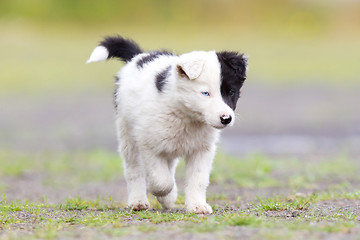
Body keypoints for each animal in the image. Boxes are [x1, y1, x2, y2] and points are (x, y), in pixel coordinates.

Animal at [86, 36, 248, 215]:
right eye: (205, 93)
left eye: (231, 92)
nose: (226, 118)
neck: (186, 116)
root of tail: (139, 56)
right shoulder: (148, 144)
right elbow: (161, 181)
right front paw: (163, 193)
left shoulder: (202, 149)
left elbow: (198, 179)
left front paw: (197, 205)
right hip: (127, 134)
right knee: (134, 170)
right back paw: (138, 201)